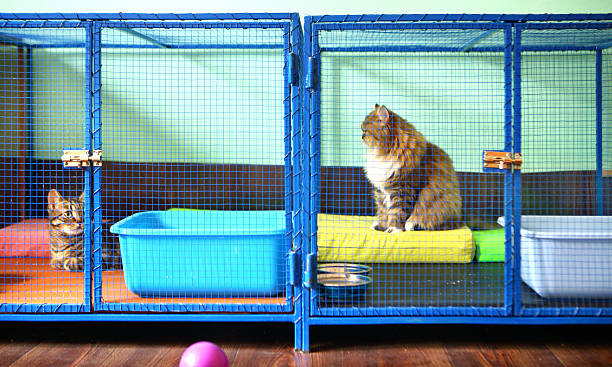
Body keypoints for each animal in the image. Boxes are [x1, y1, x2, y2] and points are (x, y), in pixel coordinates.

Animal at [360, 104, 462, 233]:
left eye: (365, 131)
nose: (361, 136)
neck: (385, 153)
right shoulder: (382, 191)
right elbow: (383, 211)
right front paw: (382, 227)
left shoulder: (402, 190)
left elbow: (397, 212)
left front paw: (393, 228)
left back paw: (412, 225)